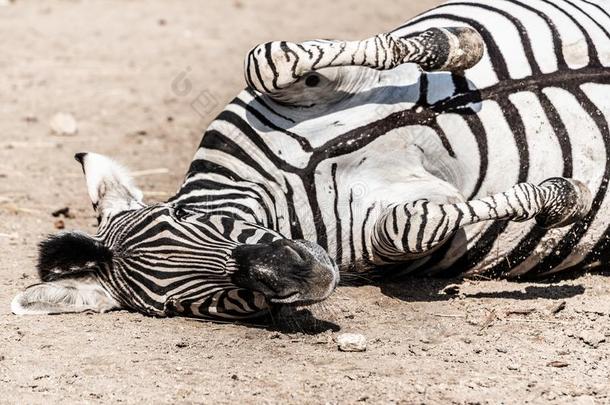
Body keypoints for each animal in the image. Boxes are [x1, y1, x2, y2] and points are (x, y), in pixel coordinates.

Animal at [9, 0, 608, 320]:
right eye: (197, 303)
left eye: (186, 217)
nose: (307, 271)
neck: (288, 188)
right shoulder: (389, 234)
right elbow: (416, 221)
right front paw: (563, 196)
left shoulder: (278, 91)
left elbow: (270, 57)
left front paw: (452, 44)